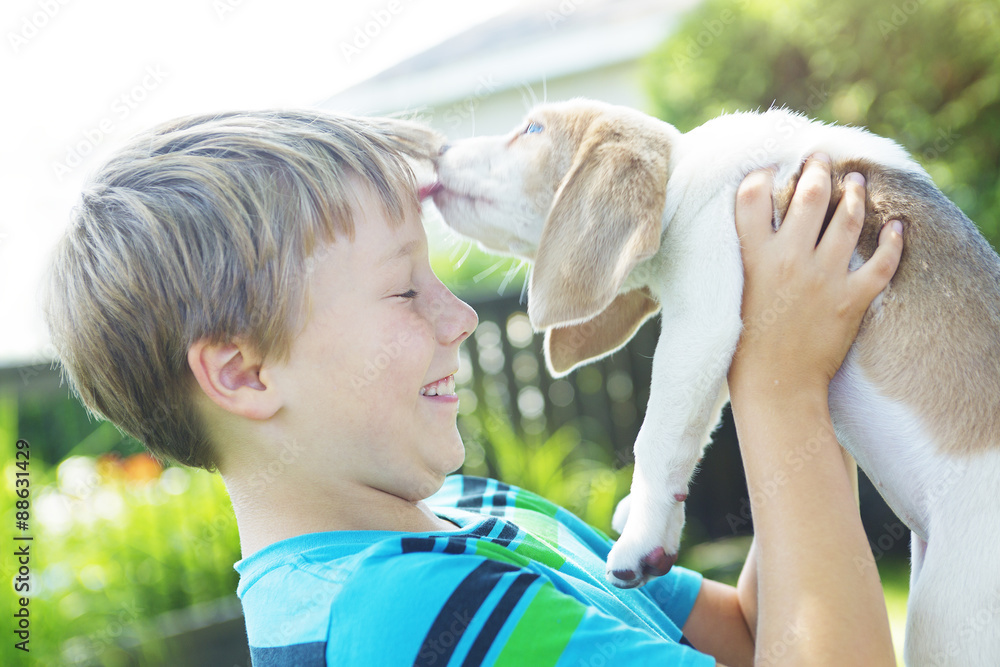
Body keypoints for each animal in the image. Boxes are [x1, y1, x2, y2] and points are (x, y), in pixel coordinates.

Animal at [428, 96, 1000, 664]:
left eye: (532, 130)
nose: (438, 151)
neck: (684, 176)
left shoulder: (702, 317)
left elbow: (656, 437)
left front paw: (639, 536)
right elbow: (690, 432)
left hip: (942, 616)